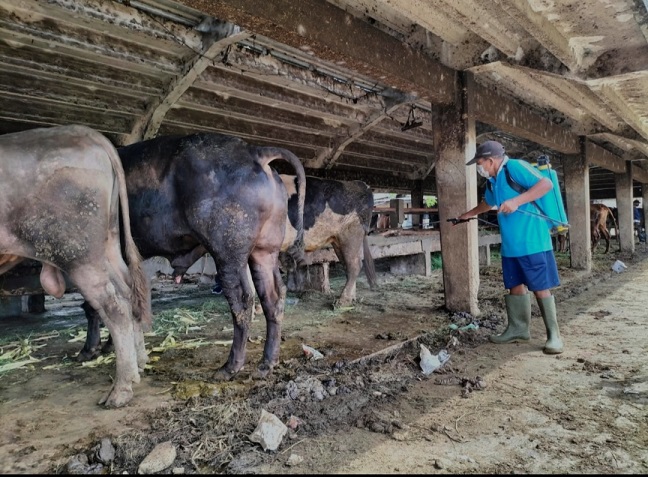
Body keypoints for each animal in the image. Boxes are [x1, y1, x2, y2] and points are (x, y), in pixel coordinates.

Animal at [0, 124, 151, 408]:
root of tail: (86, 132)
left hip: (79, 253)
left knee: (113, 305)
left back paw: (120, 391)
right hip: (108, 244)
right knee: (127, 291)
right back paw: (138, 367)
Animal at [79, 132, 306, 382]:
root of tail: (254, 152)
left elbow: (95, 304)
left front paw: (89, 349)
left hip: (228, 253)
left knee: (242, 300)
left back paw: (229, 367)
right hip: (264, 251)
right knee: (273, 296)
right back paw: (266, 364)